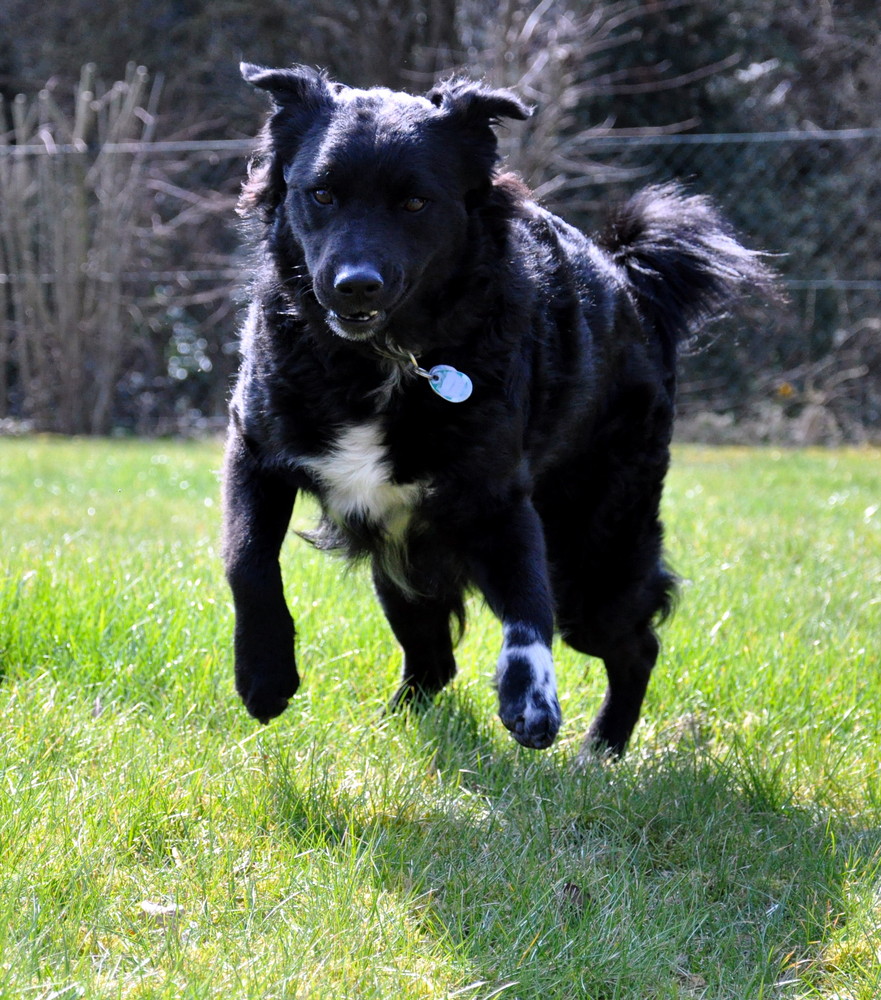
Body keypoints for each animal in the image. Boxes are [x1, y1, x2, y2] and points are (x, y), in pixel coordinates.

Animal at [222, 60, 768, 752]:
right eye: (321, 195)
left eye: (415, 202)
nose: (354, 286)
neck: (389, 357)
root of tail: (630, 283)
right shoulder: (254, 448)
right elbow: (247, 561)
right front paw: (264, 675)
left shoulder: (496, 495)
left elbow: (527, 602)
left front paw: (531, 696)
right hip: (405, 557)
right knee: (433, 658)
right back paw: (394, 726)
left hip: (593, 555)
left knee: (634, 644)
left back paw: (601, 749)